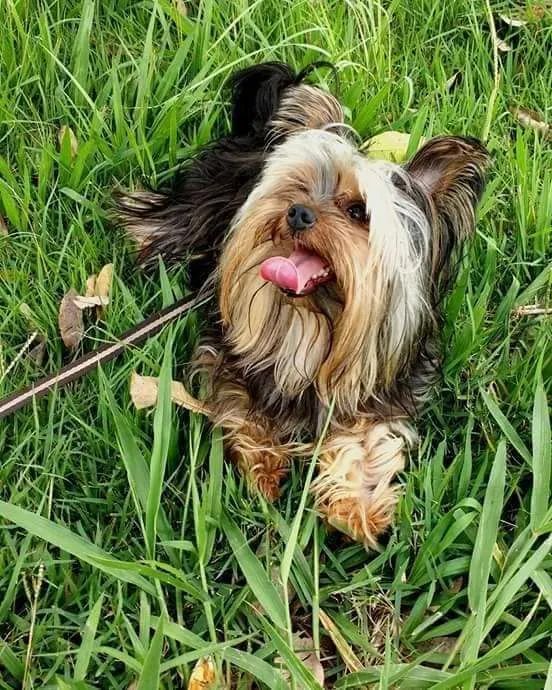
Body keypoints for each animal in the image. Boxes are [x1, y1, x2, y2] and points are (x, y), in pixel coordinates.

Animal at [115, 61, 488, 544]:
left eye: (358, 211)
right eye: (299, 188)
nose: (297, 212)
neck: (315, 317)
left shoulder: (380, 389)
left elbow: (366, 441)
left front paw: (357, 505)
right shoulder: (229, 355)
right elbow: (242, 407)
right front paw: (263, 467)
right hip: (200, 204)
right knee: (166, 218)